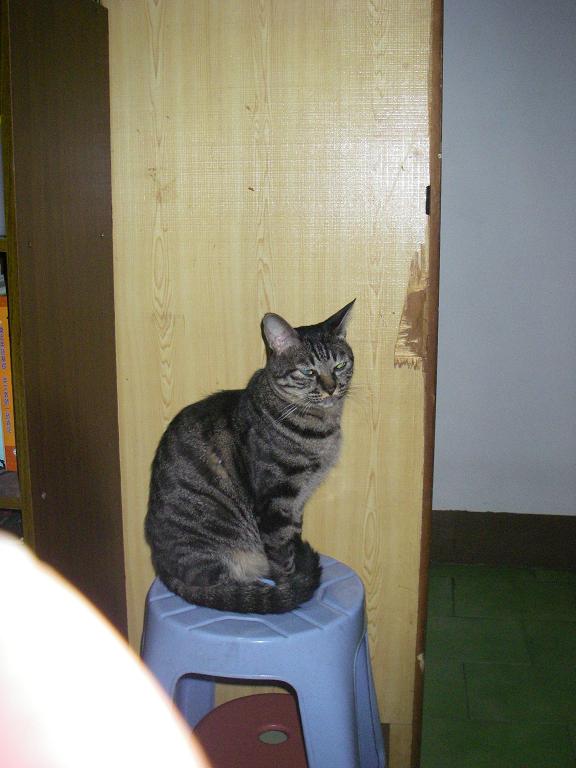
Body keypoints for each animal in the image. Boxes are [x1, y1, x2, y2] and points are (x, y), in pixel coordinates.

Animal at [145, 300, 355, 613]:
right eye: (308, 372)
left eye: (340, 365)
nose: (331, 388)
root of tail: (162, 568)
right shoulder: (275, 501)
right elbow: (282, 554)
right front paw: (291, 585)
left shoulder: (296, 502)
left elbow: (291, 540)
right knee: (223, 584)